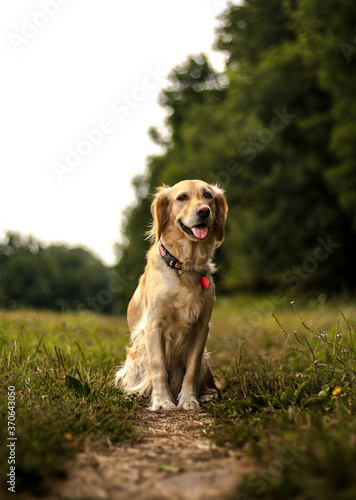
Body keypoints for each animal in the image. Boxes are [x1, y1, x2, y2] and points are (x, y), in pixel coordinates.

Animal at [115, 180, 229, 410]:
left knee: (211, 383)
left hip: (206, 361)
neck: (185, 266)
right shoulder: (154, 325)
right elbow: (158, 367)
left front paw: (188, 400)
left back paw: (207, 395)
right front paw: (162, 401)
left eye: (208, 195)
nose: (203, 211)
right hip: (134, 360)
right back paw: (138, 394)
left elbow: (191, 370)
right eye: (182, 197)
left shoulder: (201, 326)